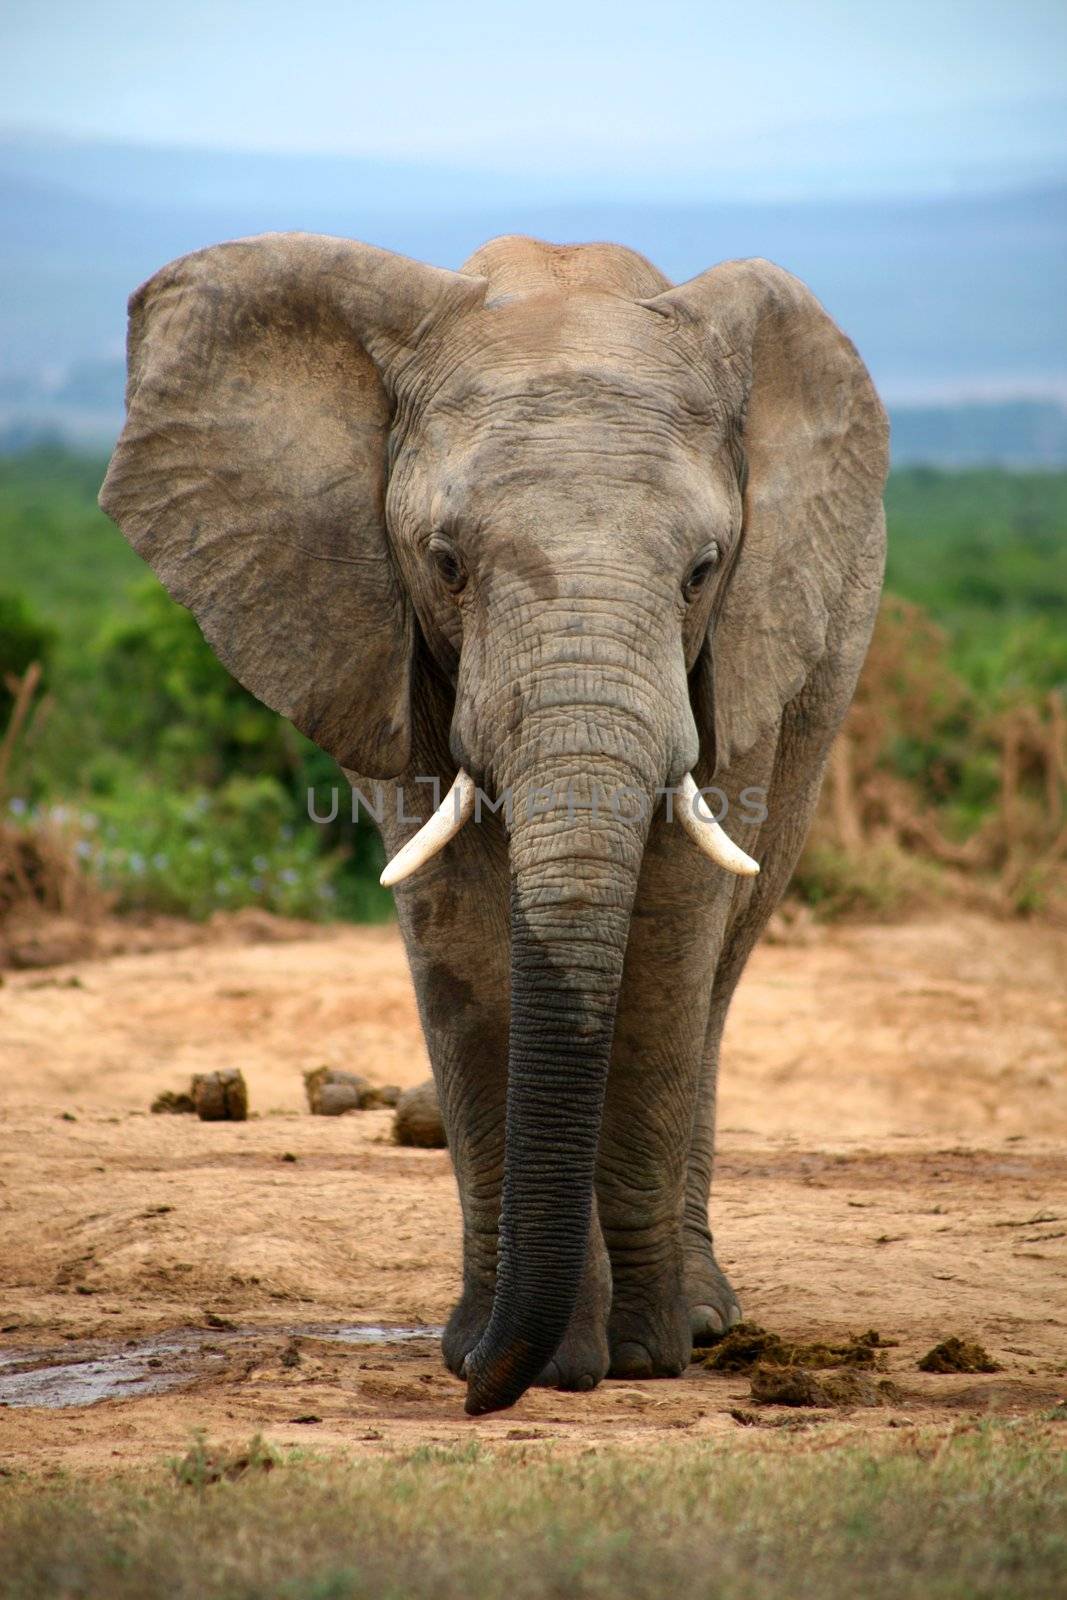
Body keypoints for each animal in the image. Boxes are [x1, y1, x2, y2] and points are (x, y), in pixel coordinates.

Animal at [99, 233, 889, 1414]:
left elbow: (669, 932)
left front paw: (640, 1356)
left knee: (719, 972)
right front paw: (523, 1356)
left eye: (702, 571)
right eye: (445, 562)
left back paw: (704, 1319)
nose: (477, 1392)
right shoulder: (380, 643)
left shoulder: (738, 643)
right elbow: (459, 931)